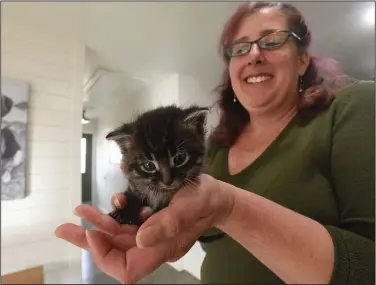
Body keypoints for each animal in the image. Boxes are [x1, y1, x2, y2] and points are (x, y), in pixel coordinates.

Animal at [105, 104, 223, 242]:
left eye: (179, 158)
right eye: (149, 165)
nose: (168, 181)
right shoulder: (134, 184)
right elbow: (132, 194)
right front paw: (123, 213)